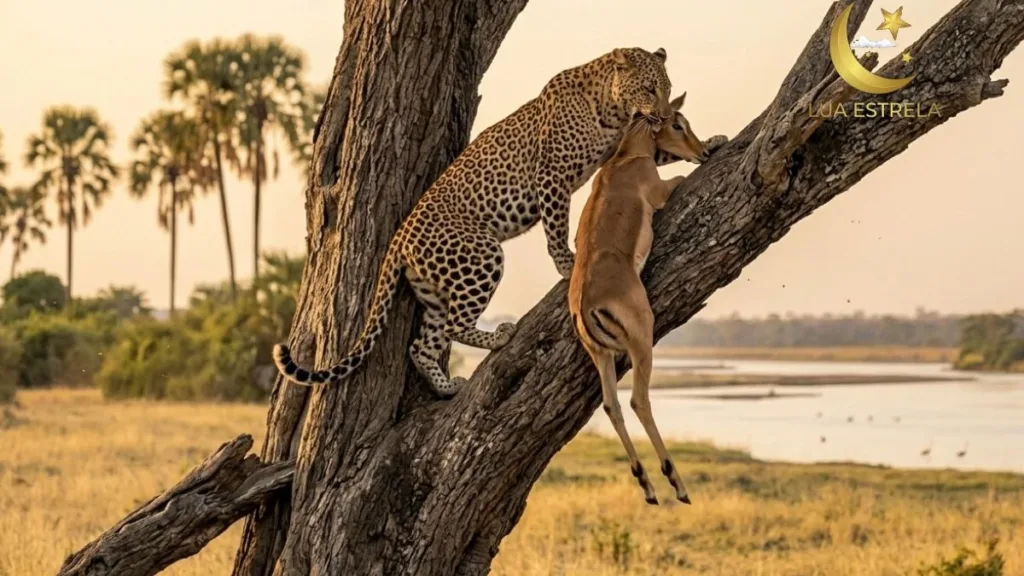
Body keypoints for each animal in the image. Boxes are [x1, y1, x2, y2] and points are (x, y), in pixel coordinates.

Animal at [273, 47, 727, 397]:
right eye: (650, 88)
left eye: (667, 88)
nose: (665, 112)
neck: (612, 107)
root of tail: (399, 236)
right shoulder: (552, 175)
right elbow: (556, 227)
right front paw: (566, 265)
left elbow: (662, 153)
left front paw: (712, 143)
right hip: (480, 255)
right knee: (456, 323)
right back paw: (500, 337)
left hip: (435, 288)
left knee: (423, 344)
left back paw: (446, 387)